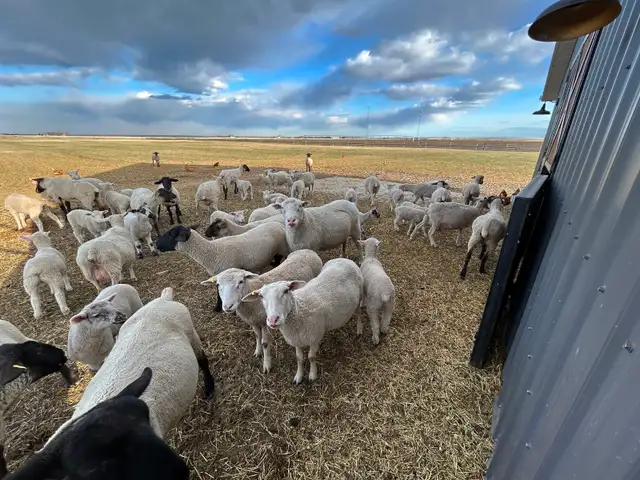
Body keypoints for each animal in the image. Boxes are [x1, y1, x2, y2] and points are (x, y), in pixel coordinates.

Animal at [156, 223, 290, 311]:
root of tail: (278, 224)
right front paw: (217, 307)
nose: (156, 244)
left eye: (170, 235)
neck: (212, 252)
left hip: (282, 248)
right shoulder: (218, 276)